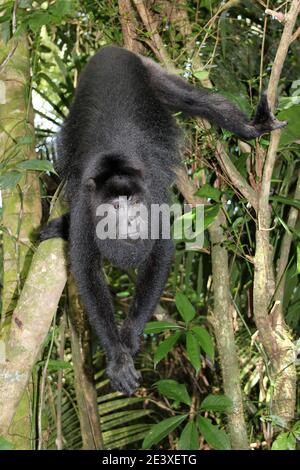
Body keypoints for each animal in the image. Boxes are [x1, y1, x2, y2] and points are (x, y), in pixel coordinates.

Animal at [39, 46, 286, 394]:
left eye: (134, 201)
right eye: (114, 205)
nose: (131, 221)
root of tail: (110, 49)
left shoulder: (152, 191)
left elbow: (160, 253)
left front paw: (128, 339)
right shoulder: (85, 206)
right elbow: (85, 267)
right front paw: (117, 356)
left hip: (149, 69)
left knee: (194, 100)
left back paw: (252, 127)